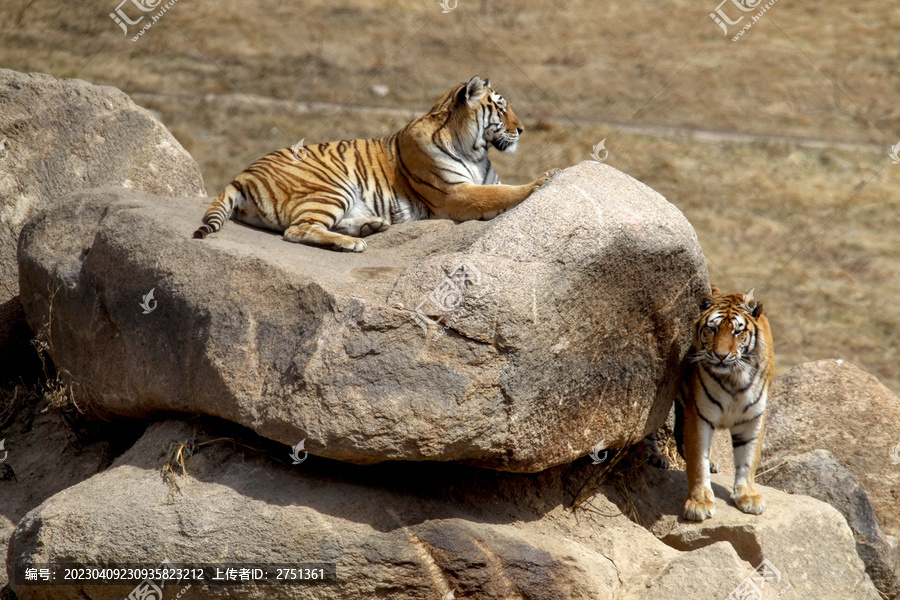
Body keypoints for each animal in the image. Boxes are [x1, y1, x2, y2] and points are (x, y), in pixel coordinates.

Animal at [192, 77, 560, 251]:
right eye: (501, 108)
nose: (523, 129)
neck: (476, 151)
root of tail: (241, 174)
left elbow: (500, 189)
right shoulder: (456, 194)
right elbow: (503, 194)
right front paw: (544, 179)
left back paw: (372, 225)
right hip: (331, 186)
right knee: (297, 230)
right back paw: (354, 242)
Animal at [676, 286, 772, 520]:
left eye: (737, 332)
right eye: (712, 329)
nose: (720, 355)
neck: (735, 377)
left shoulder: (753, 418)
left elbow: (748, 458)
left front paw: (748, 496)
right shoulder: (699, 414)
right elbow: (697, 460)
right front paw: (699, 502)